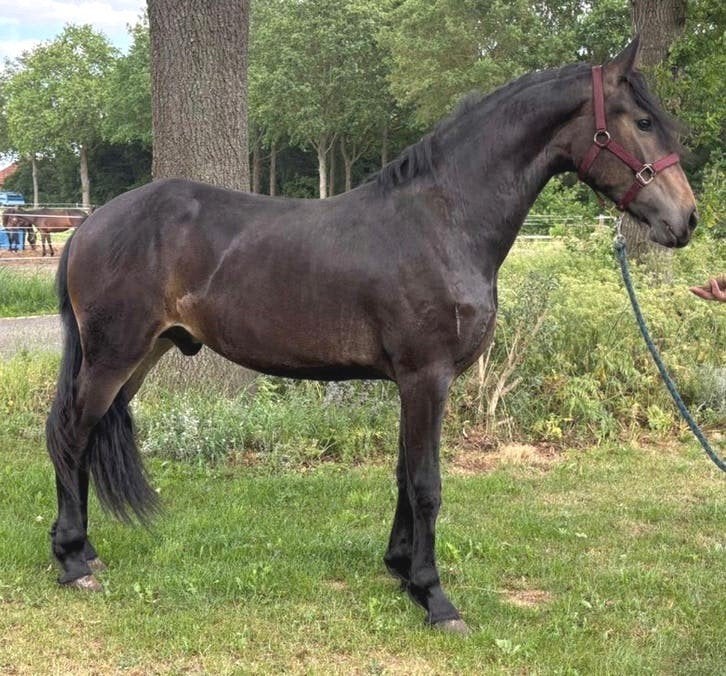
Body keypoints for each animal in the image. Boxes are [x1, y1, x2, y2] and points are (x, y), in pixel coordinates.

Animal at [45, 39, 697, 632]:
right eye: (643, 121)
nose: (686, 219)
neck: (443, 220)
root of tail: (90, 226)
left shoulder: (417, 384)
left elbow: (405, 476)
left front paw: (402, 570)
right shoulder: (426, 376)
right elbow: (427, 483)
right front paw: (435, 598)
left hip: (140, 356)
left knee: (86, 434)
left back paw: (83, 550)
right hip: (113, 355)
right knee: (72, 434)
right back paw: (72, 562)